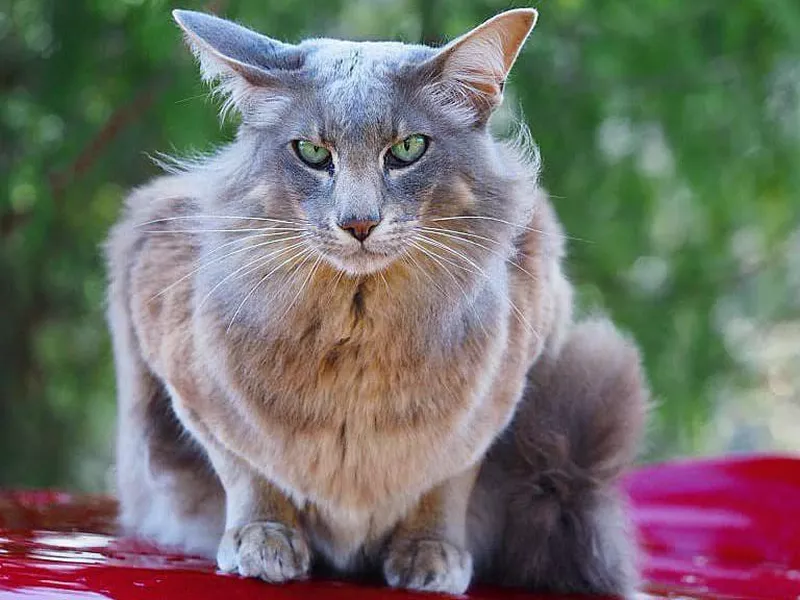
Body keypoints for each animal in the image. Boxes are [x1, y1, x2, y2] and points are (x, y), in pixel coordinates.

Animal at [103, 7, 648, 596]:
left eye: (407, 150)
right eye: (313, 153)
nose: (359, 222)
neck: (358, 330)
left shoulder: (495, 401)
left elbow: (445, 483)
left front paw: (431, 553)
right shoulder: (182, 362)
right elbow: (248, 471)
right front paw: (264, 540)